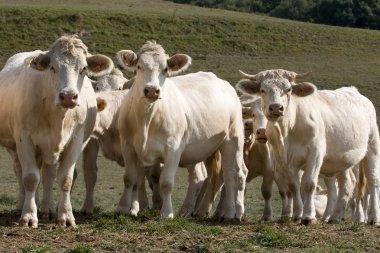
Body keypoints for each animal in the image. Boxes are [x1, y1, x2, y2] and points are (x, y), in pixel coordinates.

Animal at [0, 35, 113, 227]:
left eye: (83, 69)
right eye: (53, 67)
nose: (68, 96)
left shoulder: (75, 141)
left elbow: (65, 179)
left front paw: (65, 216)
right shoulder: (24, 140)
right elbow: (30, 178)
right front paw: (28, 215)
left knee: (48, 175)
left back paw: (48, 208)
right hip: (14, 146)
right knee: (20, 171)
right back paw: (23, 205)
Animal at [116, 41, 246, 219]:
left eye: (165, 69)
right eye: (139, 66)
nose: (152, 90)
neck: (146, 120)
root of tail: (225, 84)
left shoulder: (173, 148)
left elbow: (166, 183)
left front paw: (166, 213)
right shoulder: (128, 146)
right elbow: (130, 178)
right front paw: (123, 208)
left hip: (233, 138)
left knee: (234, 173)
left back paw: (233, 212)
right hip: (206, 148)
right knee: (205, 177)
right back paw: (195, 210)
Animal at [238, 68, 380, 224]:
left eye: (289, 89)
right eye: (263, 90)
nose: (276, 108)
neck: (288, 129)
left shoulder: (315, 153)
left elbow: (308, 184)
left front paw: (308, 216)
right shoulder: (284, 160)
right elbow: (294, 186)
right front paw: (297, 214)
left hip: (372, 147)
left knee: (373, 181)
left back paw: (373, 218)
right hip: (342, 159)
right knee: (347, 183)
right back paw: (335, 216)